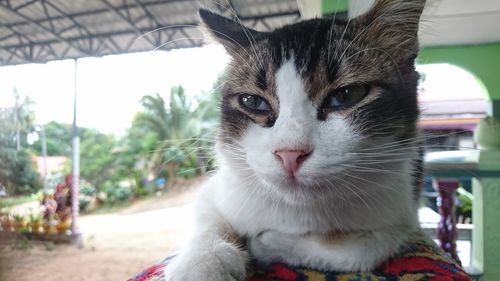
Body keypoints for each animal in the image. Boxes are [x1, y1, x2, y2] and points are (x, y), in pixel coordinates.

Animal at [163, 1, 426, 278]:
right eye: (253, 102)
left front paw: (267, 243)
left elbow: (364, 249)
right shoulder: (218, 190)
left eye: (346, 95)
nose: (289, 154)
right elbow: (205, 220)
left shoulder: (402, 212)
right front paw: (202, 263)